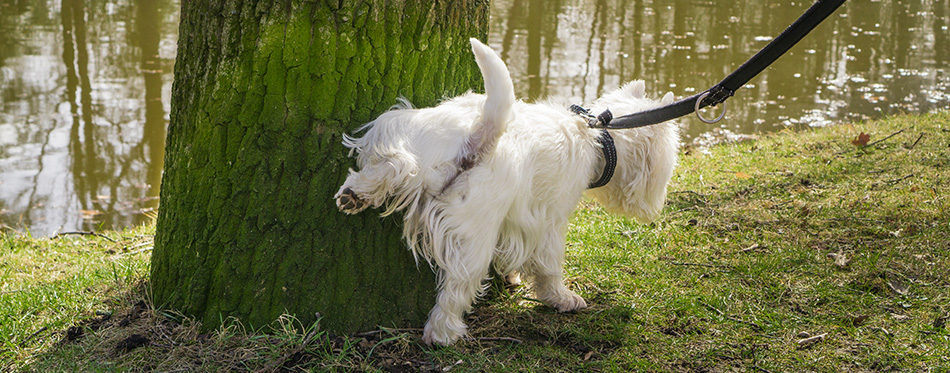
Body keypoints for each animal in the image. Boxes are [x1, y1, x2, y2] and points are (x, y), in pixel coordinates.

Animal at [334, 38, 676, 346]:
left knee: (396, 165)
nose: (655, 208)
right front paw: (562, 298)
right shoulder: (550, 220)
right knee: (457, 287)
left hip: (412, 137)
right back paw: (442, 333)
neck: (597, 136)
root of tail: (480, 135)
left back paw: (355, 193)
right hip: (474, 233)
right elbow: (549, 265)